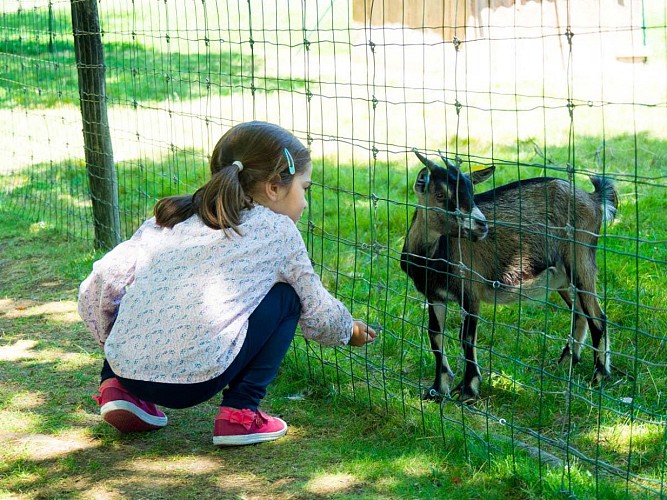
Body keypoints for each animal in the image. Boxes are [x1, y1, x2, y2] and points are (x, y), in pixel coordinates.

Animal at [400, 149, 620, 402]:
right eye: (439, 193)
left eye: (472, 192)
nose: (482, 225)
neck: (433, 258)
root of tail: (593, 200)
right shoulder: (433, 295)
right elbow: (435, 336)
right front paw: (437, 390)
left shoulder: (470, 292)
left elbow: (466, 338)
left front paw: (468, 390)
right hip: (561, 277)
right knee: (579, 312)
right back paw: (566, 362)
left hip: (581, 260)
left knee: (598, 317)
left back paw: (599, 376)